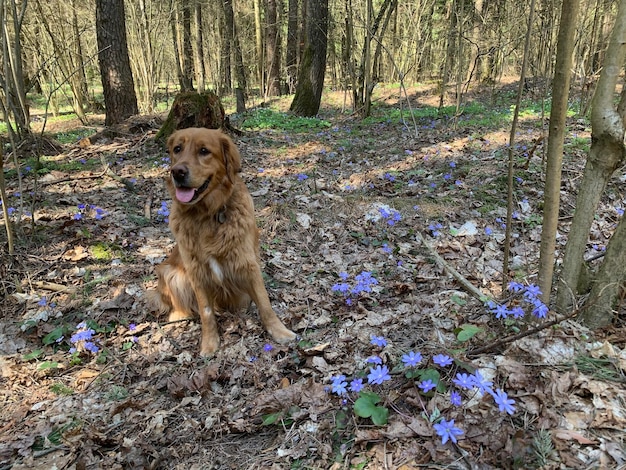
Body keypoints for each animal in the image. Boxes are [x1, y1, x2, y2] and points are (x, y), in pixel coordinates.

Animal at [152, 126, 296, 354]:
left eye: (204, 151)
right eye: (177, 149)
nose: (177, 172)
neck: (208, 214)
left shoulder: (248, 264)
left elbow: (265, 303)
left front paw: (279, 332)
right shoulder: (196, 272)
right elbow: (206, 311)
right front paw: (209, 344)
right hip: (169, 271)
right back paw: (178, 315)